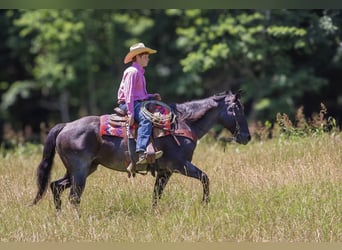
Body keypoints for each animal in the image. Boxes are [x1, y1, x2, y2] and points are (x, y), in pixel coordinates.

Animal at [32, 91, 251, 210]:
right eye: (237, 109)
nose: (246, 137)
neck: (183, 123)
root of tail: (65, 126)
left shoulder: (165, 171)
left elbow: (156, 195)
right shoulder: (179, 165)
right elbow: (205, 178)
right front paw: (205, 204)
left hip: (82, 169)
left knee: (55, 186)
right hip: (79, 171)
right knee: (74, 197)